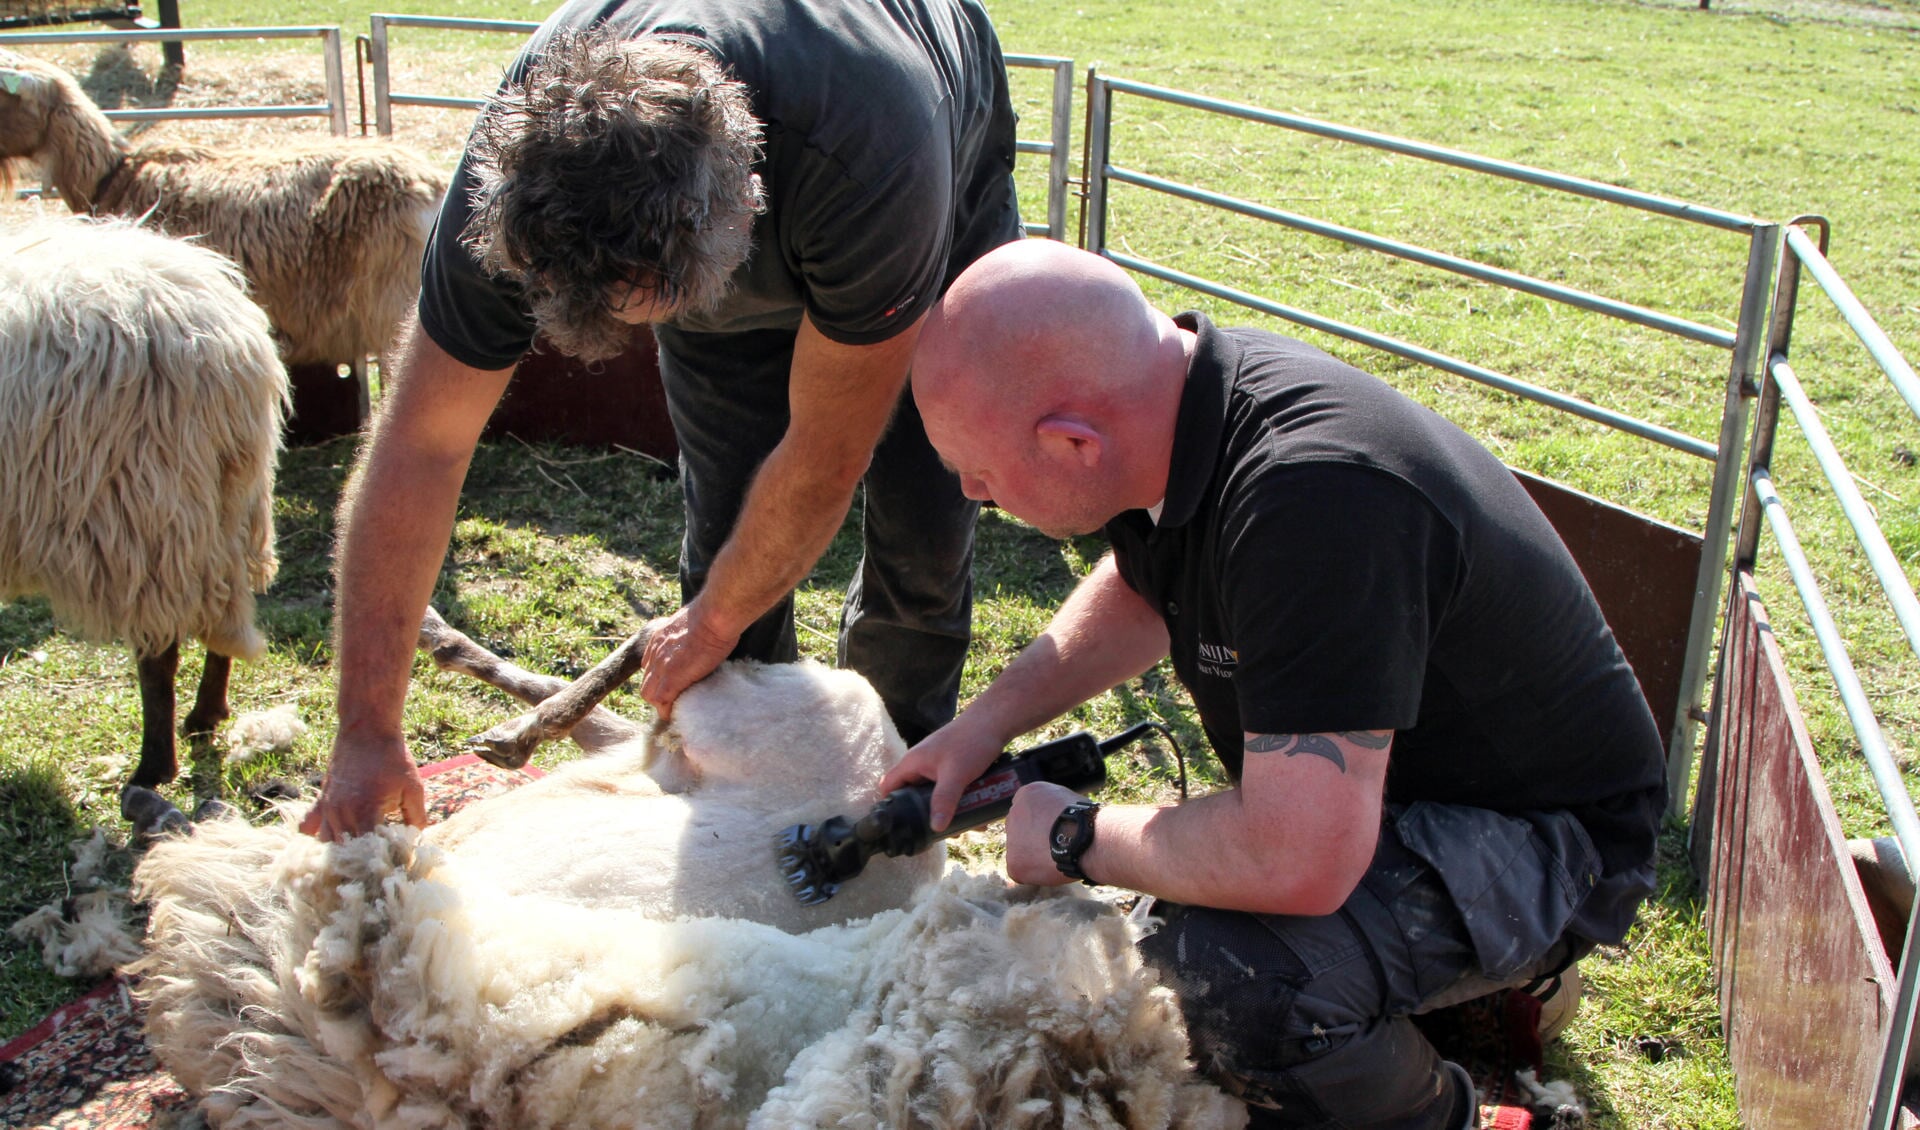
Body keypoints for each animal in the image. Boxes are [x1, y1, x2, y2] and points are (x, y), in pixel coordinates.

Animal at [0, 215, 286, 824]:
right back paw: (205, 716)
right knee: (223, 611)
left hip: (145, 506)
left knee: (161, 652)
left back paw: (153, 767)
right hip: (222, 503)